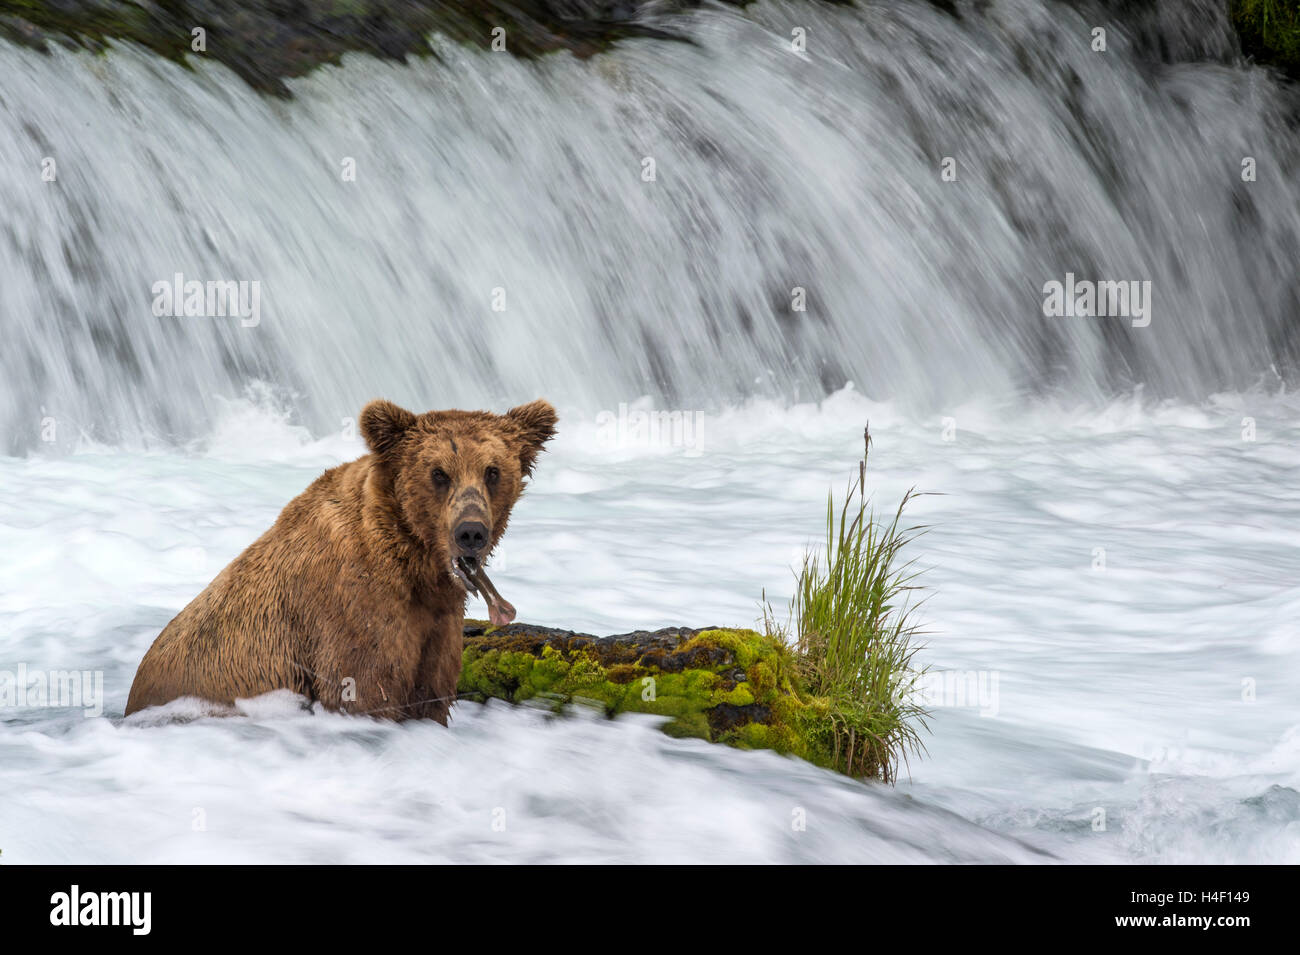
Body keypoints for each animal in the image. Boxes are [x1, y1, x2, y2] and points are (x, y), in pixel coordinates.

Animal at [124, 398, 558, 723]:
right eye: (439, 473)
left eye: (492, 471)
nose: (471, 532)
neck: (414, 566)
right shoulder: (351, 615)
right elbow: (367, 689)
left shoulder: (436, 628)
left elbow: (432, 696)